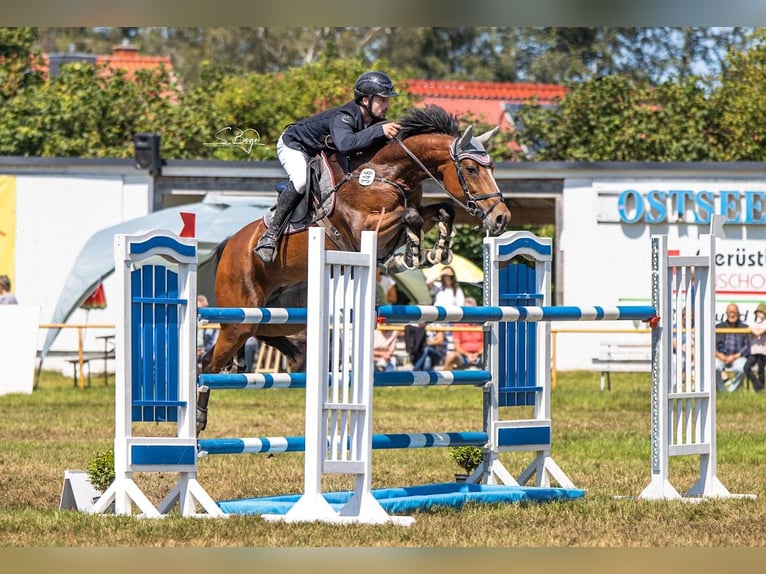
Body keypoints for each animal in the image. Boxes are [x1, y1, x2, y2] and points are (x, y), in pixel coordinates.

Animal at [195, 106, 512, 434]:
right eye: (472, 169)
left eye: (492, 167)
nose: (501, 218)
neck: (386, 175)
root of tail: (229, 245)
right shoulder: (364, 227)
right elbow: (410, 216)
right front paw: (412, 254)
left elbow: (441, 210)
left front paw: (435, 251)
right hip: (239, 316)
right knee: (208, 362)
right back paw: (198, 419)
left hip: (279, 315)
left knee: (257, 335)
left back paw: (293, 359)